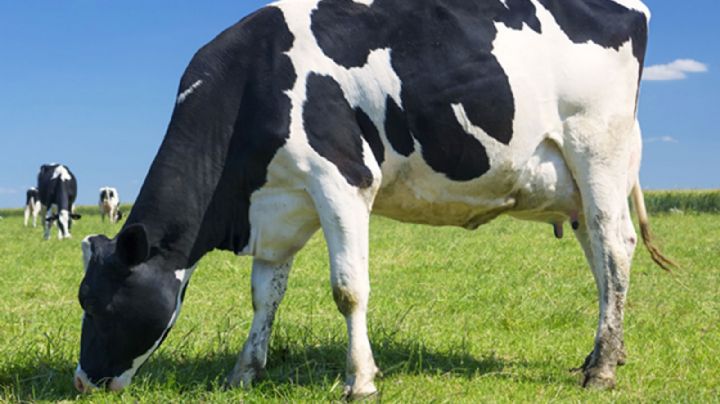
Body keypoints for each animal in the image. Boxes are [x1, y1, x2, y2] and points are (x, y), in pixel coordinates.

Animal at [74, 0, 675, 398]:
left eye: (98, 304)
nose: (82, 381)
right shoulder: (279, 204)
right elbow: (265, 295)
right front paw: (245, 371)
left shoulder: (342, 180)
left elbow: (348, 289)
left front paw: (359, 380)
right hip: (578, 184)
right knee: (601, 261)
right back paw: (603, 353)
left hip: (597, 149)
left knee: (615, 248)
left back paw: (601, 371)